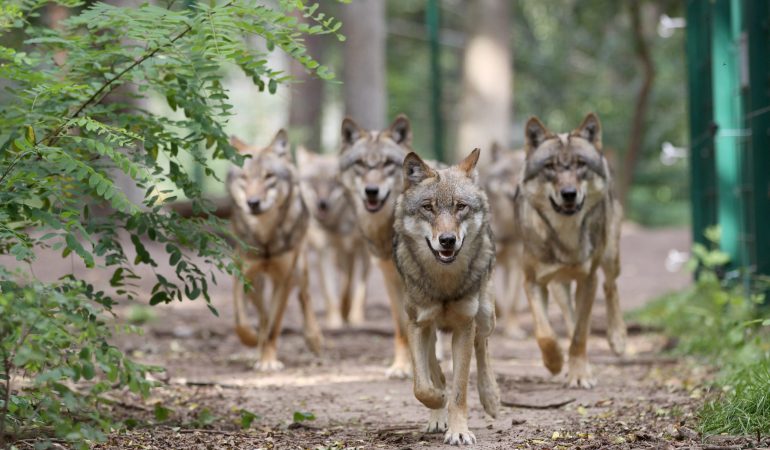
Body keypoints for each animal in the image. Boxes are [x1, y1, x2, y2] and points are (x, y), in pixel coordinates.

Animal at [227, 130, 323, 371]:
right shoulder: (243, 274)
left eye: (269, 176)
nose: (253, 202)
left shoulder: (283, 280)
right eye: (245, 177)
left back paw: (314, 338)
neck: (266, 238)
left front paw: (268, 361)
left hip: (300, 267)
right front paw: (254, 341)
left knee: (305, 296)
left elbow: (273, 325)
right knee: (262, 311)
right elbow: (242, 321)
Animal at [297, 147, 371, 328]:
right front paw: (335, 321)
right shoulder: (325, 250)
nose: (322, 204)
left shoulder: (363, 250)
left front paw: (355, 318)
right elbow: (330, 291)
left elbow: (358, 288)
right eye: (313, 181)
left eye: (333, 182)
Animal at [338, 115, 414, 378]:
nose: (371, 191)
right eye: (361, 163)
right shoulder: (390, 278)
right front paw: (401, 367)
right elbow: (402, 329)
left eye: (387, 164)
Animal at [393, 148, 500, 445]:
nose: (447, 240)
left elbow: (460, 389)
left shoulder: (464, 325)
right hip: (428, 328)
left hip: (485, 314)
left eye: (460, 207)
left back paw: (491, 397)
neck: (443, 283)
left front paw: (459, 431)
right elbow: (422, 386)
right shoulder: (418, 325)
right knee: (434, 367)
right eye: (428, 207)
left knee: (483, 346)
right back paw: (437, 414)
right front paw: (439, 401)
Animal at [514, 113, 626, 388]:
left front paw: (579, 375)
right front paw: (554, 362)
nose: (568, 194)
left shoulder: (588, 280)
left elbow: (579, 336)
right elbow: (545, 333)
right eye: (550, 167)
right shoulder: (533, 282)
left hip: (610, 257)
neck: (566, 236)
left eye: (580, 164)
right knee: (570, 316)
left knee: (610, 286)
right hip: (558, 286)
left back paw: (617, 338)